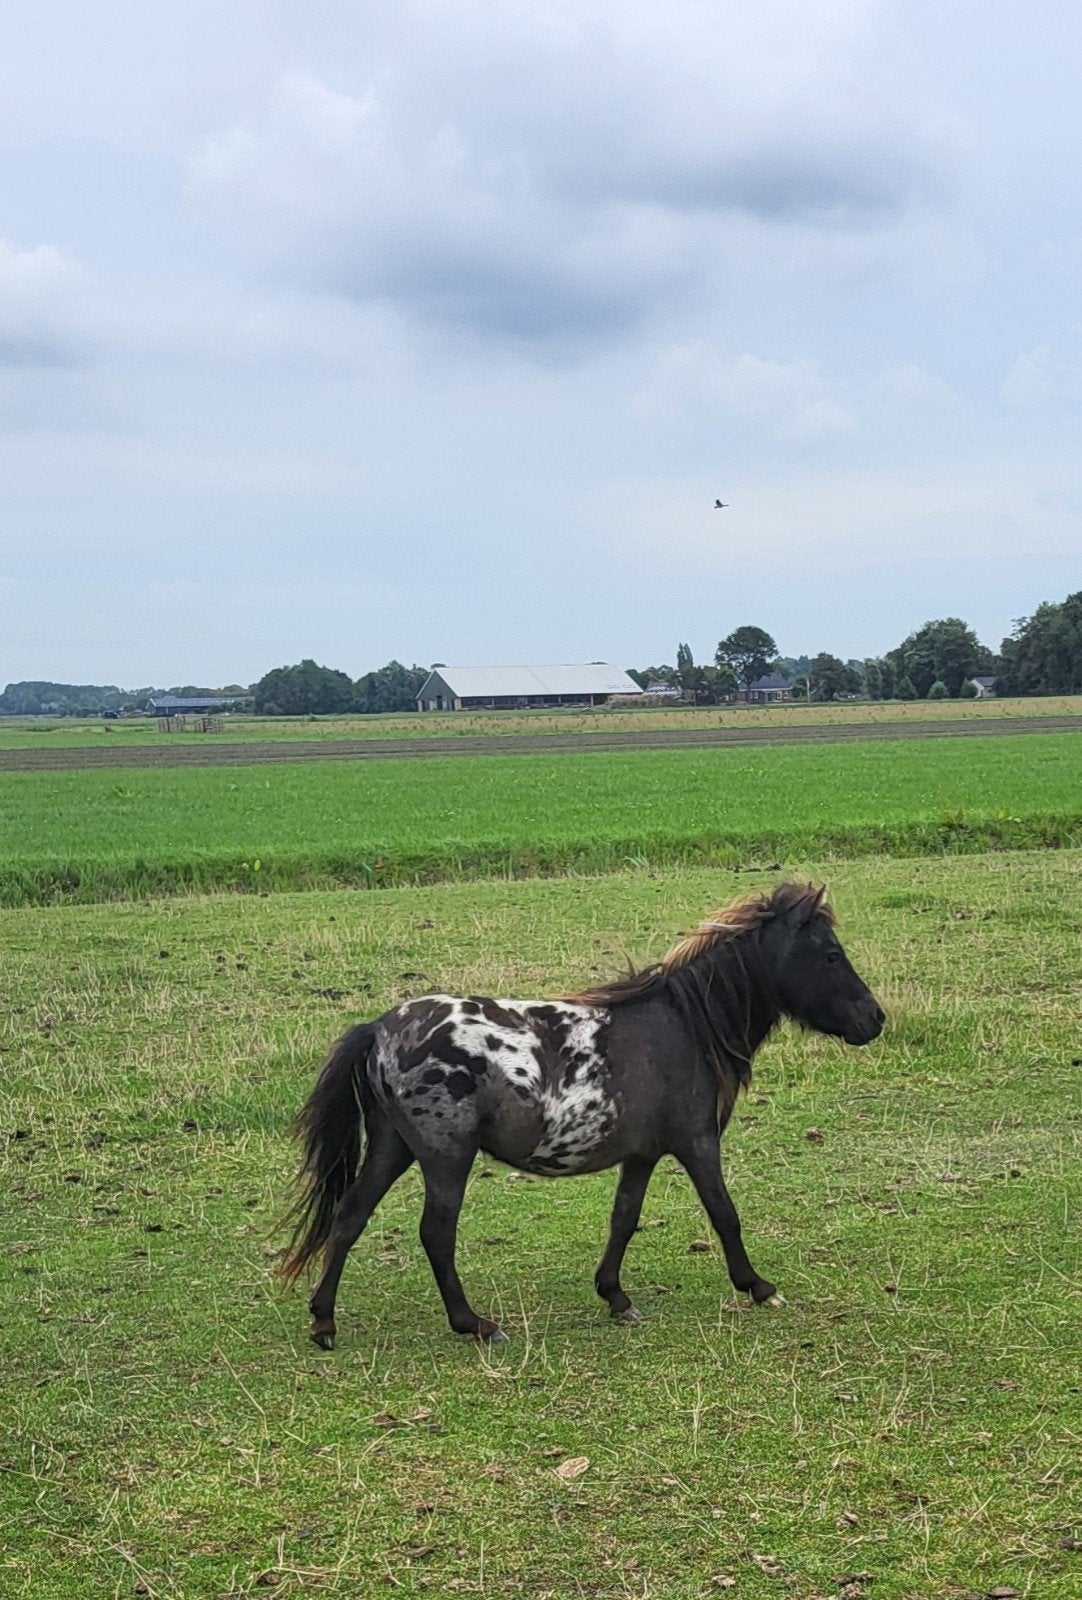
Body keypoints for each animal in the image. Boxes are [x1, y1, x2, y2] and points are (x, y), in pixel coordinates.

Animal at [279, 881, 884, 1346]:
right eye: (831, 954)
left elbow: (624, 1220)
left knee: (350, 1217)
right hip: (444, 1156)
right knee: (435, 1233)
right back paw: (473, 1324)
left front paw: (615, 1296)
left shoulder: (642, 1155)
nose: (874, 1019)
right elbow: (724, 1214)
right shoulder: (697, 1143)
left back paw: (324, 1322)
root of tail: (380, 1029)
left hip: (392, 1146)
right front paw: (758, 1286)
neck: (686, 1026)